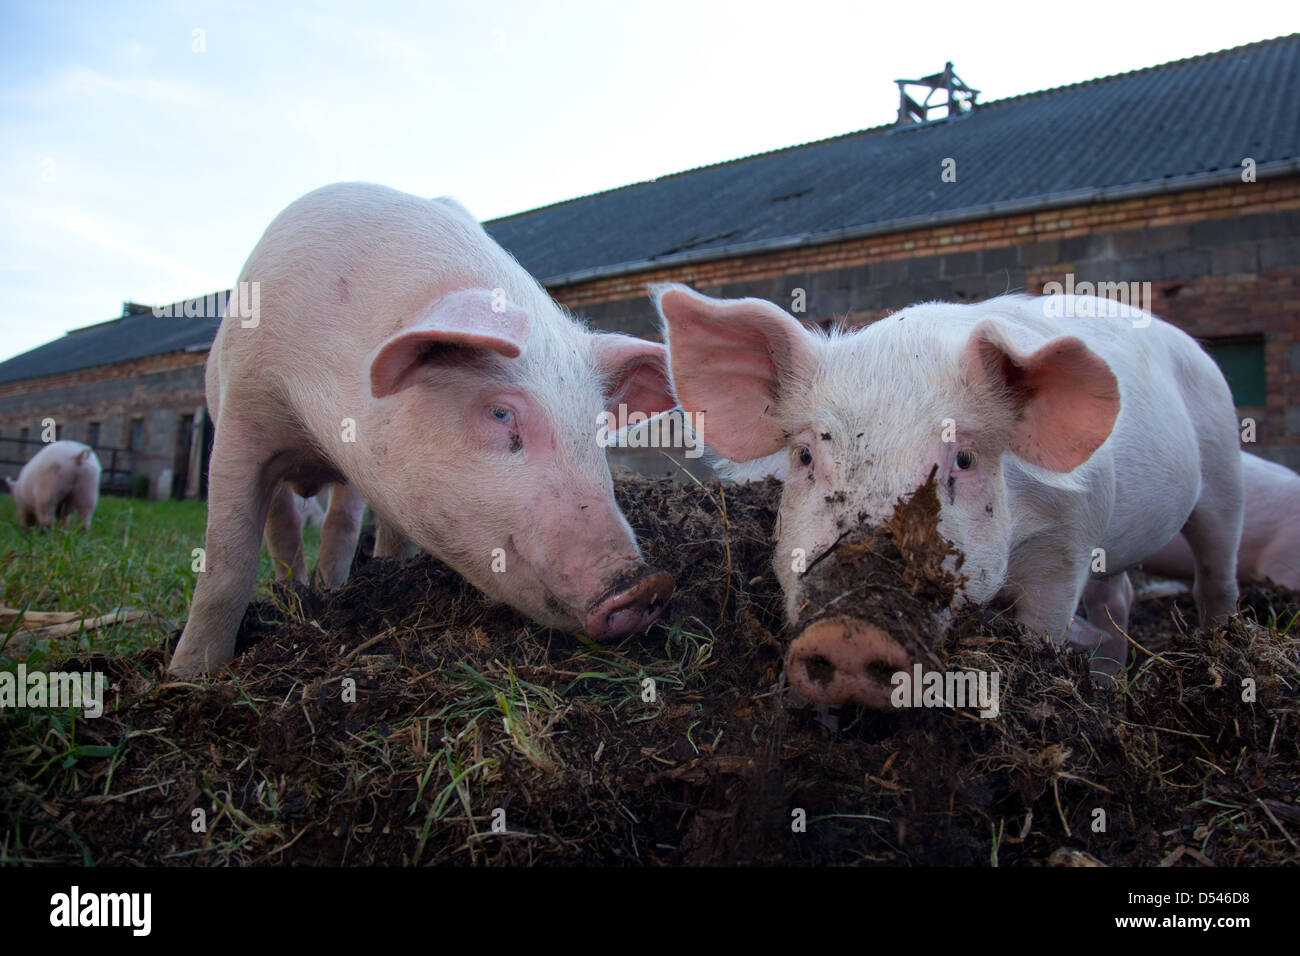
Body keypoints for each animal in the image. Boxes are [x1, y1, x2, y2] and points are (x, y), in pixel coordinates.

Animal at [169, 183, 676, 681]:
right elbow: (228, 557)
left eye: (596, 428)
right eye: (500, 414)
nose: (644, 584)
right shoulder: (242, 411)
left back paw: (332, 586)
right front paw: (188, 675)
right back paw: (294, 592)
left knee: (341, 521)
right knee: (284, 522)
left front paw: (389, 572)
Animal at [660, 287, 1248, 707]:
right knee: (1118, 599)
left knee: (1217, 575)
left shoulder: (1070, 540)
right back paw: (1108, 688)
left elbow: (1046, 628)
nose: (850, 633)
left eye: (964, 460)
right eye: (805, 456)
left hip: (1223, 468)